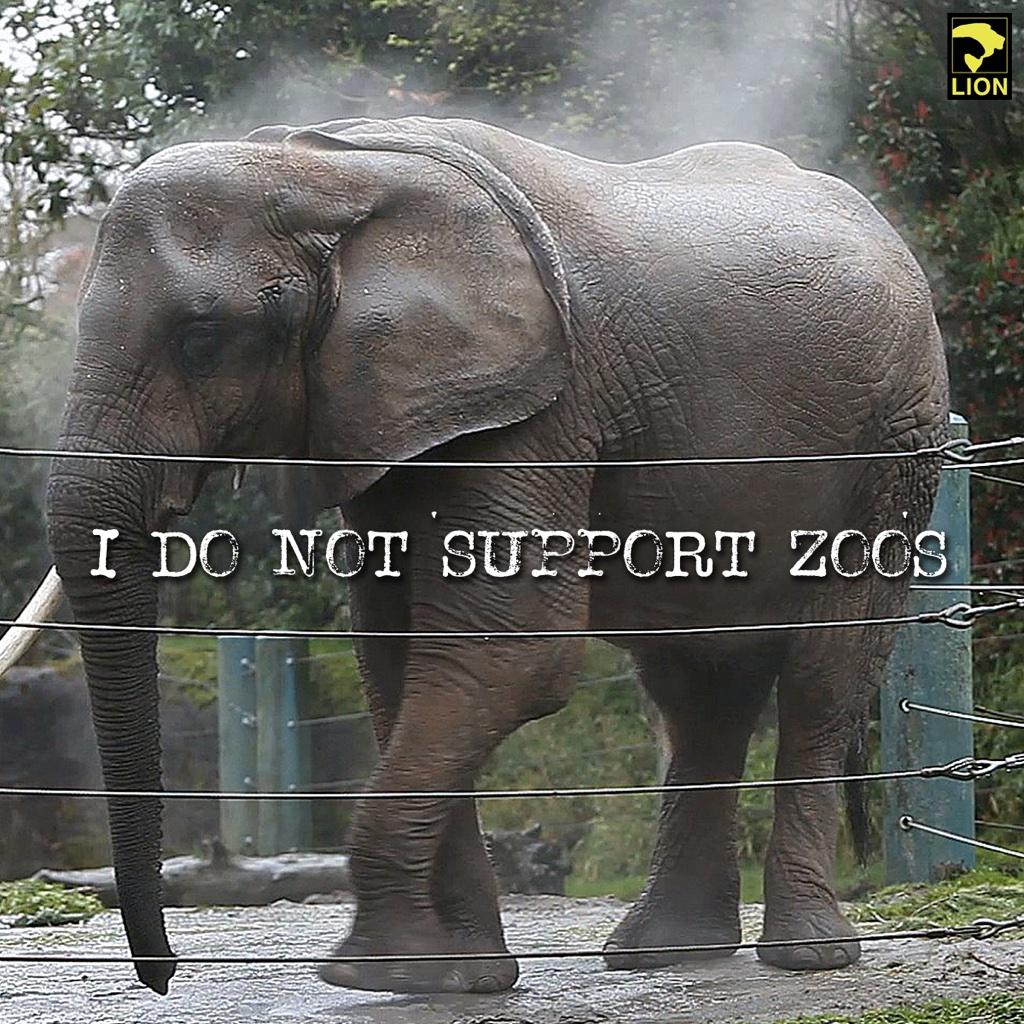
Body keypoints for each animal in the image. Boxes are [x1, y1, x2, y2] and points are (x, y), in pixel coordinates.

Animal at [26, 114, 948, 996]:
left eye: (203, 339)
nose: (163, 977)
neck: (332, 169)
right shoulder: (388, 410)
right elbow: (400, 660)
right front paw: (453, 976)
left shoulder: (539, 404)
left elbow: (509, 652)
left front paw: (372, 971)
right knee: (697, 690)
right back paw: (662, 954)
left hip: (894, 451)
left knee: (823, 676)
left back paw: (806, 958)